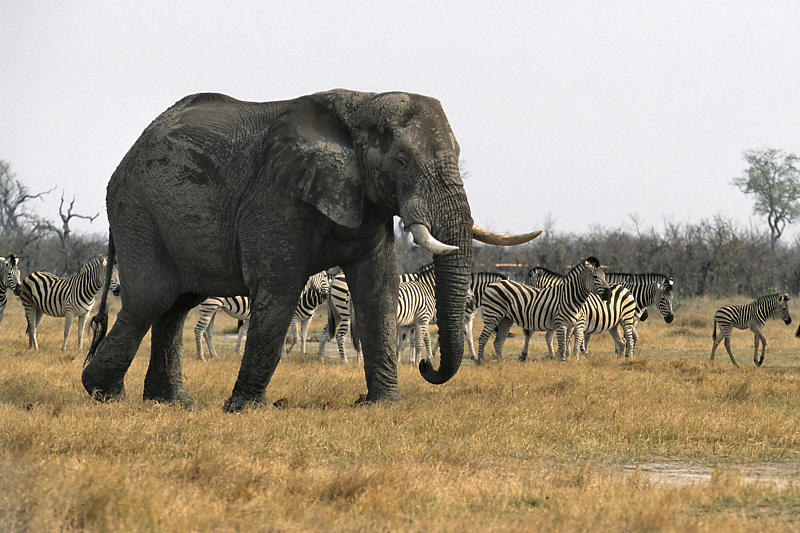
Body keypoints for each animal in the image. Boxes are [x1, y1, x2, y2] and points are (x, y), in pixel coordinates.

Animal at [81, 88, 540, 412]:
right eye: (402, 161)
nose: (428, 367)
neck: (360, 104)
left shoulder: (366, 199)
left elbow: (378, 287)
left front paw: (384, 405)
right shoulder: (275, 193)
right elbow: (279, 285)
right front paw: (246, 409)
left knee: (176, 305)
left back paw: (173, 403)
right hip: (137, 210)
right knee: (152, 298)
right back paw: (102, 392)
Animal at [476, 256, 612, 362]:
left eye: (604, 276)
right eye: (595, 277)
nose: (609, 294)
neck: (571, 297)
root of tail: (493, 284)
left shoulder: (572, 325)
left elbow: (571, 345)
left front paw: (571, 362)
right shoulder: (561, 324)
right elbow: (562, 345)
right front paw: (562, 363)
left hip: (505, 319)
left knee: (498, 341)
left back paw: (501, 362)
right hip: (492, 315)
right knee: (483, 338)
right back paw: (480, 362)